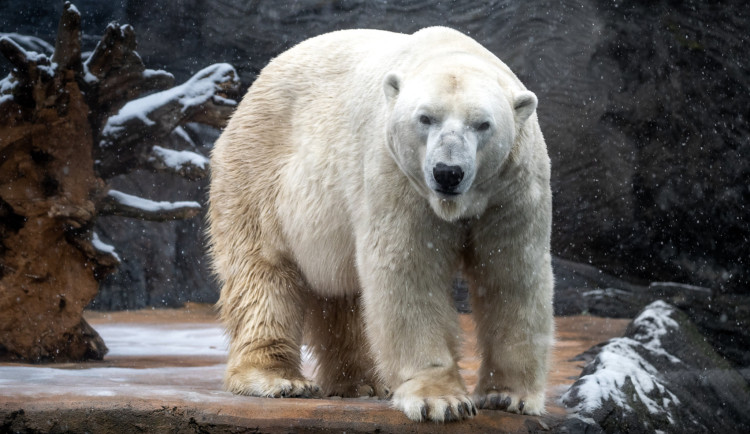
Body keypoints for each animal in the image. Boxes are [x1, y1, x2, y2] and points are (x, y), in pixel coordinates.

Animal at [209, 25, 556, 422]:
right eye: (425, 118)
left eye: (483, 124)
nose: (447, 172)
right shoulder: (396, 174)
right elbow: (409, 270)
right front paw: (441, 400)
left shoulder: (511, 188)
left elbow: (510, 274)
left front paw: (509, 396)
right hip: (259, 172)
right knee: (263, 274)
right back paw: (278, 378)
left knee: (342, 291)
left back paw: (364, 383)